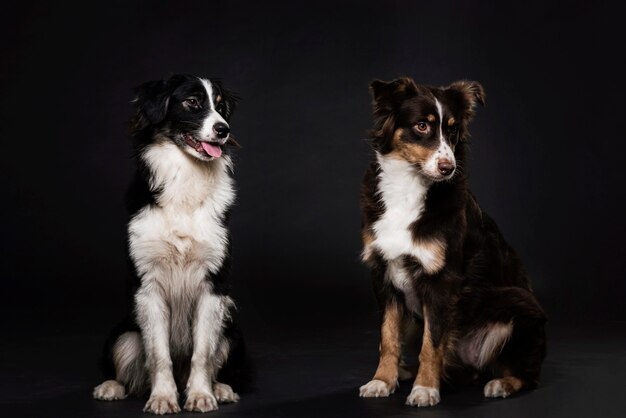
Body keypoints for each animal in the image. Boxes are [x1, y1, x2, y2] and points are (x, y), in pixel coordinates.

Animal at [94, 74, 245, 414]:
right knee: (125, 363)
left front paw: (201, 395)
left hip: (231, 331)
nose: (224, 129)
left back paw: (221, 388)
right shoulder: (148, 285)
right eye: (192, 102)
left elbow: (202, 353)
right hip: (123, 332)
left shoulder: (213, 285)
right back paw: (111, 387)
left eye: (220, 107)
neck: (186, 176)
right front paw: (163, 397)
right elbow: (158, 354)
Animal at [358, 76, 544, 406]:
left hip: (519, 304)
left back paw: (501, 384)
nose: (448, 168)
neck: (408, 187)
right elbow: (387, 337)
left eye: (453, 130)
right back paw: (407, 371)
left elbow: (432, 344)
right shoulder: (383, 274)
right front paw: (382, 380)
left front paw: (425, 389)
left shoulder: (442, 281)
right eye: (422, 126)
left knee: (527, 375)